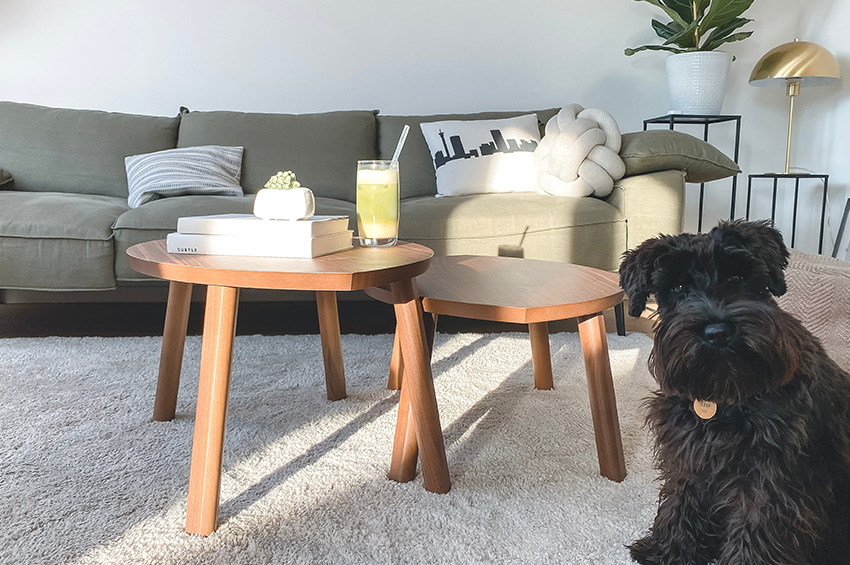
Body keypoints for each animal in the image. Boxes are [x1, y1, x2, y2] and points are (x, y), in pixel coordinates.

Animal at [616, 220, 848, 564]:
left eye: (738, 277)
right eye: (678, 288)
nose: (717, 332)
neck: (726, 392)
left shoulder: (769, 477)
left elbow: (757, 529)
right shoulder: (688, 456)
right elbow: (680, 500)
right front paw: (667, 551)